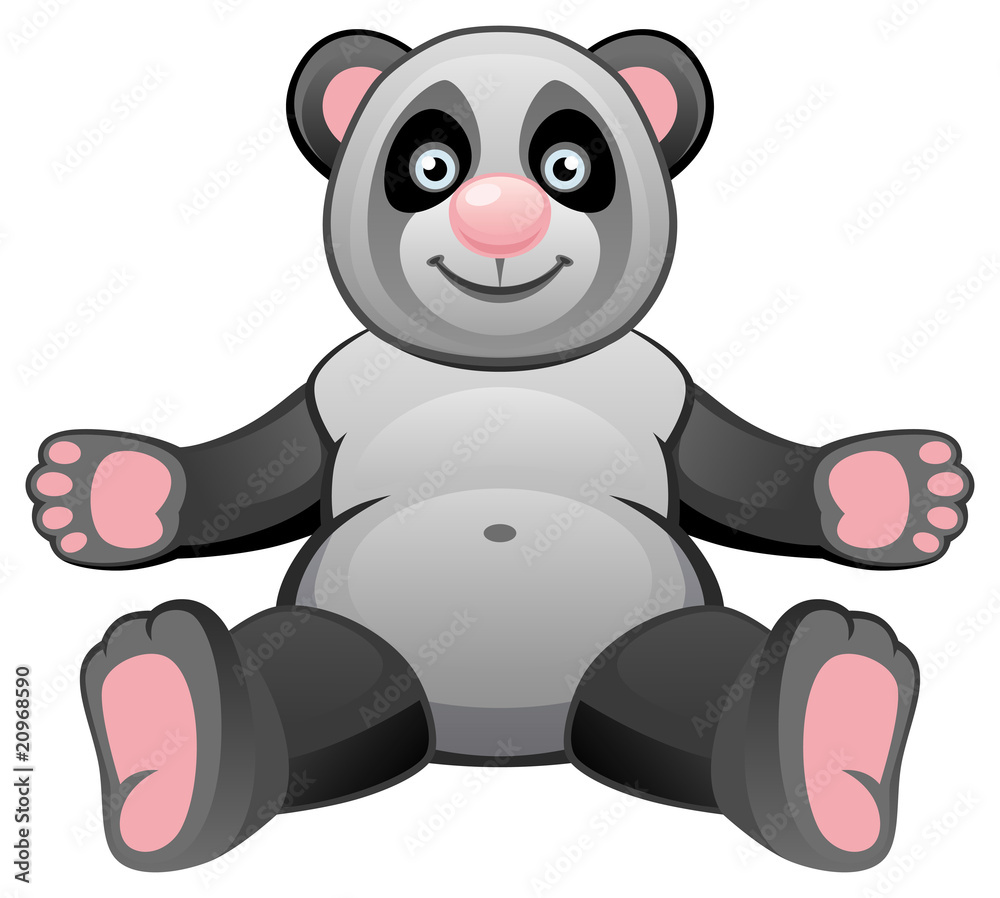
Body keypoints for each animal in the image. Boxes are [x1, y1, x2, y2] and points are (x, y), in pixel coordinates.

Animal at [27, 27, 972, 873]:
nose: (499, 224)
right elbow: (251, 476)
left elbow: (748, 480)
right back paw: (171, 723)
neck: (500, 364)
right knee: (306, 674)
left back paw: (829, 720)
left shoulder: (667, 390)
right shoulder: (333, 390)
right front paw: (111, 488)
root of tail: (500, 738)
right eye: (428, 166)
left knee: (690, 682)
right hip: (359, 642)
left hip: (643, 642)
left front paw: (888, 488)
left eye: (571, 166)